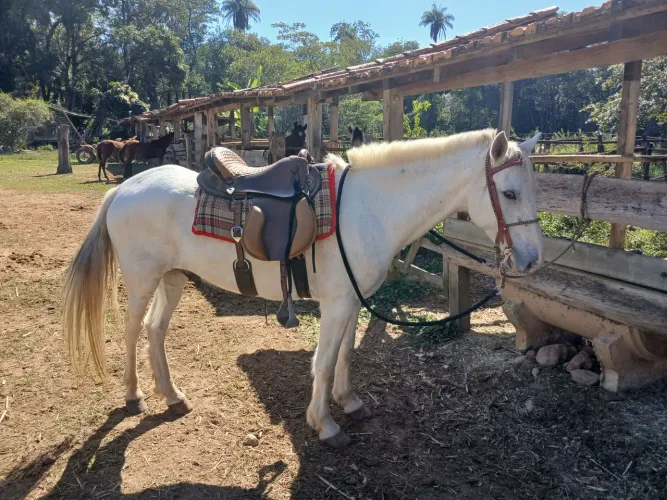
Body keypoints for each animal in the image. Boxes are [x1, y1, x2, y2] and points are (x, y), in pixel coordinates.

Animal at [63, 129, 543, 448]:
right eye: (510, 193)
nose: (532, 260)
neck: (367, 209)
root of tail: (125, 188)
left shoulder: (352, 303)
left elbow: (345, 356)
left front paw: (349, 403)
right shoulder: (335, 305)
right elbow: (324, 363)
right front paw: (324, 424)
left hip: (174, 277)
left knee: (155, 331)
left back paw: (172, 395)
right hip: (143, 279)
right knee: (131, 331)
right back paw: (134, 396)